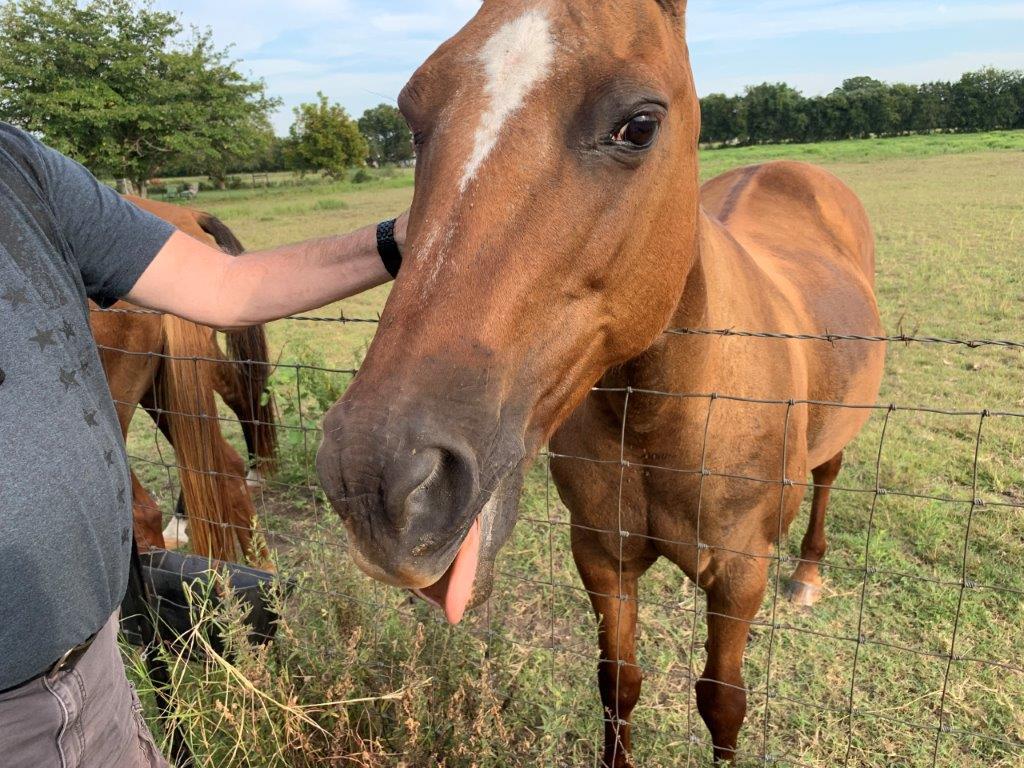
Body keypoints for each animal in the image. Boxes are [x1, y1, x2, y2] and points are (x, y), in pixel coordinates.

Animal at [315, 3, 884, 765]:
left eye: (639, 125)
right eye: (412, 117)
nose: (374, 480)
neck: (663, 417)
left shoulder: (739, 575)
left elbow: (723, 703)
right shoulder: (602, 558)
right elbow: (618, 684)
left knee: (829, 474)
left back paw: (810, 573)